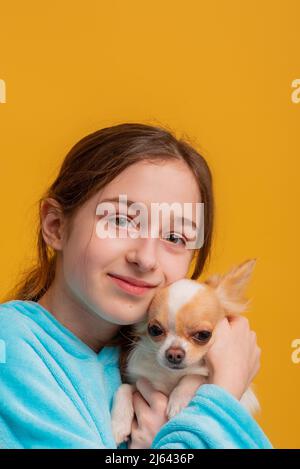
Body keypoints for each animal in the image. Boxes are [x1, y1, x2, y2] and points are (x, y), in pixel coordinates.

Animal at [110, 258, 260, 444]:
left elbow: (194, 376)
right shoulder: (140, 384)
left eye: (203, 335)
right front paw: (118, 425)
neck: (172, 376)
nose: (174, 354)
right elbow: (123, 388)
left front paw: (178, 401)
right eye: (155, 330)